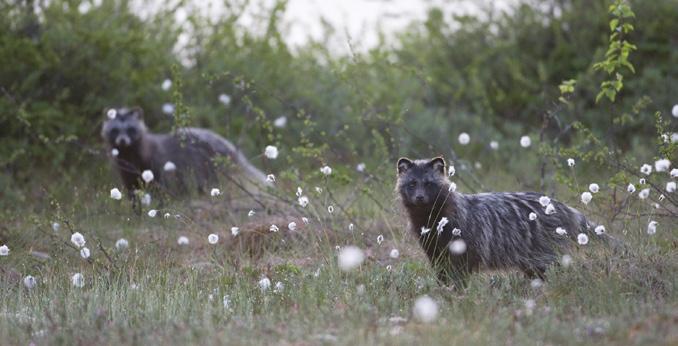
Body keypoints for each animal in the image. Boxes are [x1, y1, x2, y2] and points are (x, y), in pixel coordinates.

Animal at [102, 105, 270, 197]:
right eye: (115, 130)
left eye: (130, 129)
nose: (122, 141)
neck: (128, 153)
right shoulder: (126, 171)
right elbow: (132, 191)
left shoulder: (155, 163)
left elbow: (161, 188)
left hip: (206, 168)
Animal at [398, 157, 600, 286]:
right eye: (412, 183)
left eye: (429, 183)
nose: (420, 197)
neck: (431, 218)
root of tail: (563, 208)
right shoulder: (433, 246)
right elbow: (442, 270)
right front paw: (444, 289)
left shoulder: (465, 238)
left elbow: (460, 270)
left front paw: (457, 291)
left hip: (544, 245)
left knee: (550, 268)